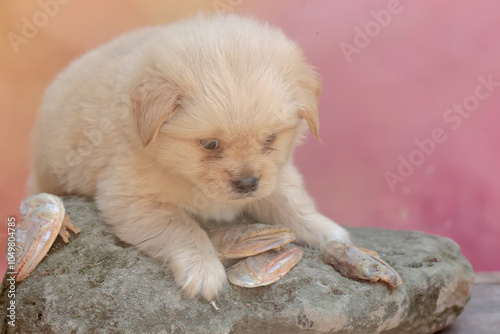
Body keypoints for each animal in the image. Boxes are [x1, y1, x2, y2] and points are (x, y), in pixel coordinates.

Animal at [31, 13, 350, 300]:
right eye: (210, 144)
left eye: (271, 138)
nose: (247, 184)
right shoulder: (132, 199)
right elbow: (183, 228)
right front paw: (203, 270)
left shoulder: (277, 174)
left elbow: (293, 202)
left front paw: (326, 231)